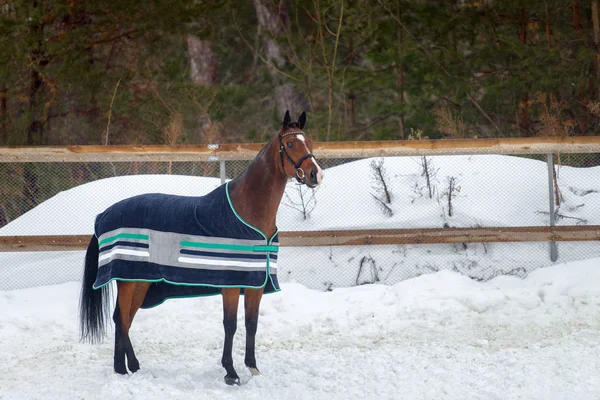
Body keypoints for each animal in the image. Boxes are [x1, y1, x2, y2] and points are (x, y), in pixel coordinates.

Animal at [79, 110, 324, 384]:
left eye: (309, 141)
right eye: (290, 144)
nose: (316, 174)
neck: (247, 211)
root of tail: (103, 215)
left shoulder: (255, 283)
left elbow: (251, 323)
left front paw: (253, 368)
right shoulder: (231, 284)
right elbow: (230, 324)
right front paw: (230, 372)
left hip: (140, 281)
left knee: (125, 318)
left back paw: (132, 365)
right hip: (128, 280)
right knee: (121, 319)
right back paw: (121, 369)